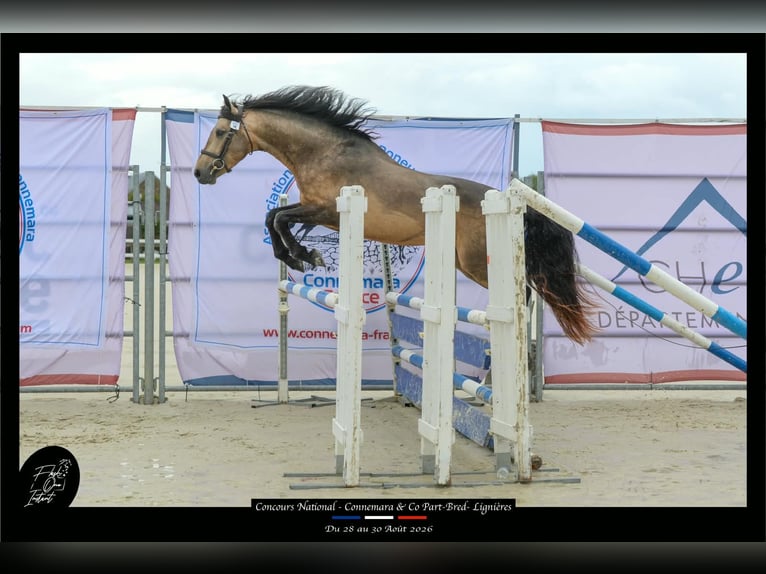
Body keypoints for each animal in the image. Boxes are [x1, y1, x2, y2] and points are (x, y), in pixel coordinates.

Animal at [193, 85, 597, 344]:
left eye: (220, 132)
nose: (200, 173)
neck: (324, 152)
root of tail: (509, 203)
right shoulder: (316, 212)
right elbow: (274, 216)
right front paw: (298, 256)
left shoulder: (326, 210)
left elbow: (278, 219)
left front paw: (303, 255)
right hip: (464, 261)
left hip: (477, 262)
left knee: (523, 294)